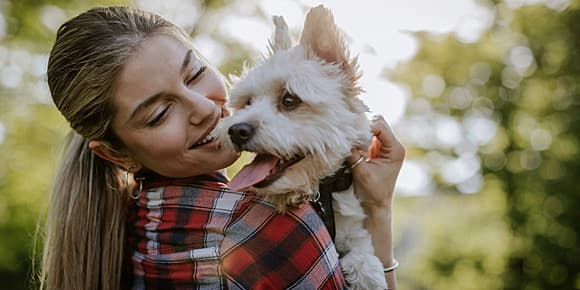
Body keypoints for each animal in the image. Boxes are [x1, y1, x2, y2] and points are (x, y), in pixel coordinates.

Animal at [220, 5, 388, 288]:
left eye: (289, 100)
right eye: (248, 102)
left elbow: (363, 256)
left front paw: (367, 273)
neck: (321, 190)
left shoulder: (353, 228)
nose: (236, 131)